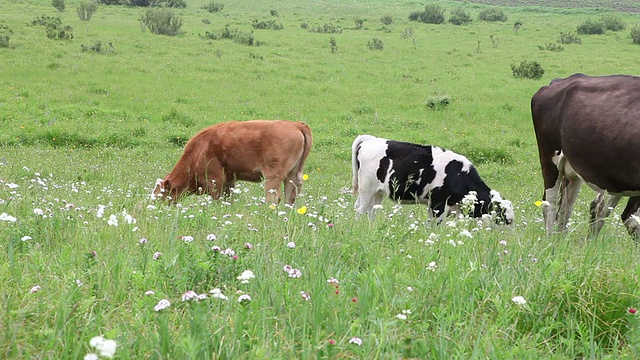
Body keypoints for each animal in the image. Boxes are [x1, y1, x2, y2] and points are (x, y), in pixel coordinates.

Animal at [153, 120, 312, 204]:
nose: (158, 209)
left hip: (273, 175)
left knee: (273, 197)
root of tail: (295, 125)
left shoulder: (215, 179)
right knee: (289, 198)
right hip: (292, 175)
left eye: (160, 195)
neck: (198, 150)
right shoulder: (229, 180)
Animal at [352, 135, 512, 224]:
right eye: (506, 219)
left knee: (370, 211)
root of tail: (369, 140)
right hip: (367, 189)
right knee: (361, 210)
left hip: (377, 193)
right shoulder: (438, 204)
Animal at [532, 72, 640, 239]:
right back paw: (550, 243)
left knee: (567, 210)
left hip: (577, 172)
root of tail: (560, 81)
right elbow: (632, 219)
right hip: (549, 159)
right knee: (550, 206)